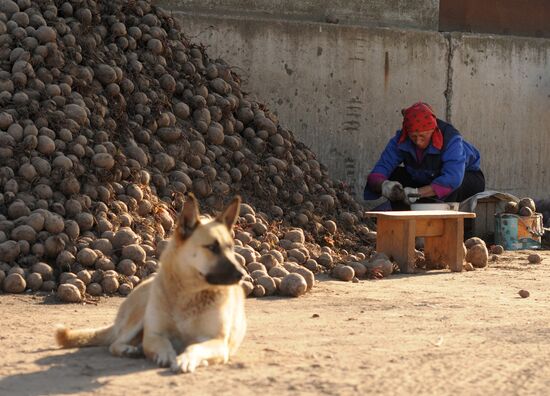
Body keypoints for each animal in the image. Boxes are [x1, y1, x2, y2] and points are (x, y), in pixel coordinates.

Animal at [55, 195, 246, 374]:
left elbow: (194, 347)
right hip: (140, 312)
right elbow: (162, 343)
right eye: (212, 248)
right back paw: (129, 350)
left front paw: (185, 359)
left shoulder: (218, 342)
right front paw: (167, 355)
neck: (189, 293)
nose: (242, 275)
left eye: (230, 248)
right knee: (115, 343)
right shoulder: (154, 335)